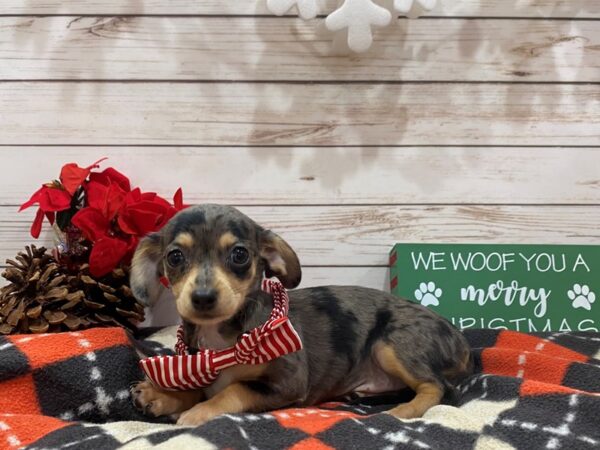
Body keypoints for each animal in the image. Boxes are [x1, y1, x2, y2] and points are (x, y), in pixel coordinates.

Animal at [129, 204, 472, 426]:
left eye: (239, 254)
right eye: (175, 257)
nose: (202, 297)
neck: (221, 344)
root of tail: (460, 339)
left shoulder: (288, 382)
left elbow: (234, 389)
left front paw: (198, 412)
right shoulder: (197, 365)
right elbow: (198, 385)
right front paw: (161, 394)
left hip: (391, 343)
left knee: (438, 387)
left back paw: (401, 411)